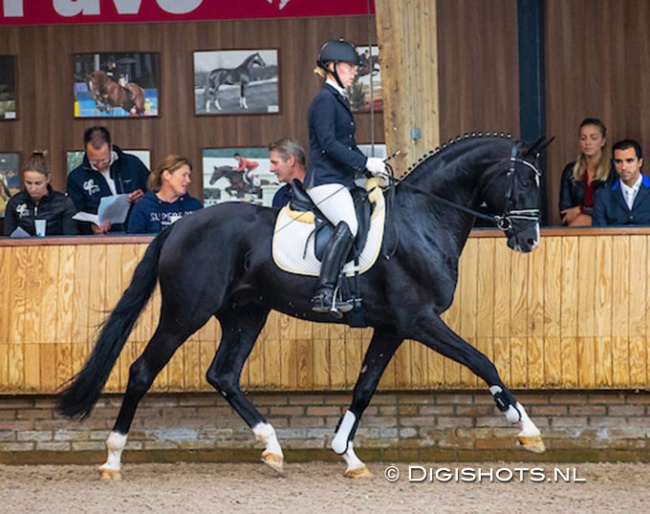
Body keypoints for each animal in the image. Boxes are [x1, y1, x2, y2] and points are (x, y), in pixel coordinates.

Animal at [58, 134, 548, 478]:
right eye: (524, 181)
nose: (530, 241)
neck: (421, 221)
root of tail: (178, 226)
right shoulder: (419, 320)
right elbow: (481, 360)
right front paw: (526, 428)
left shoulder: (391, 328)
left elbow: (364, 388)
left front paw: (347, 456)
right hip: (185, 314)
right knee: (143, 370)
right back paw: (113, 459)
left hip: (246, 313)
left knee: (223, 374)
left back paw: (272, 447)